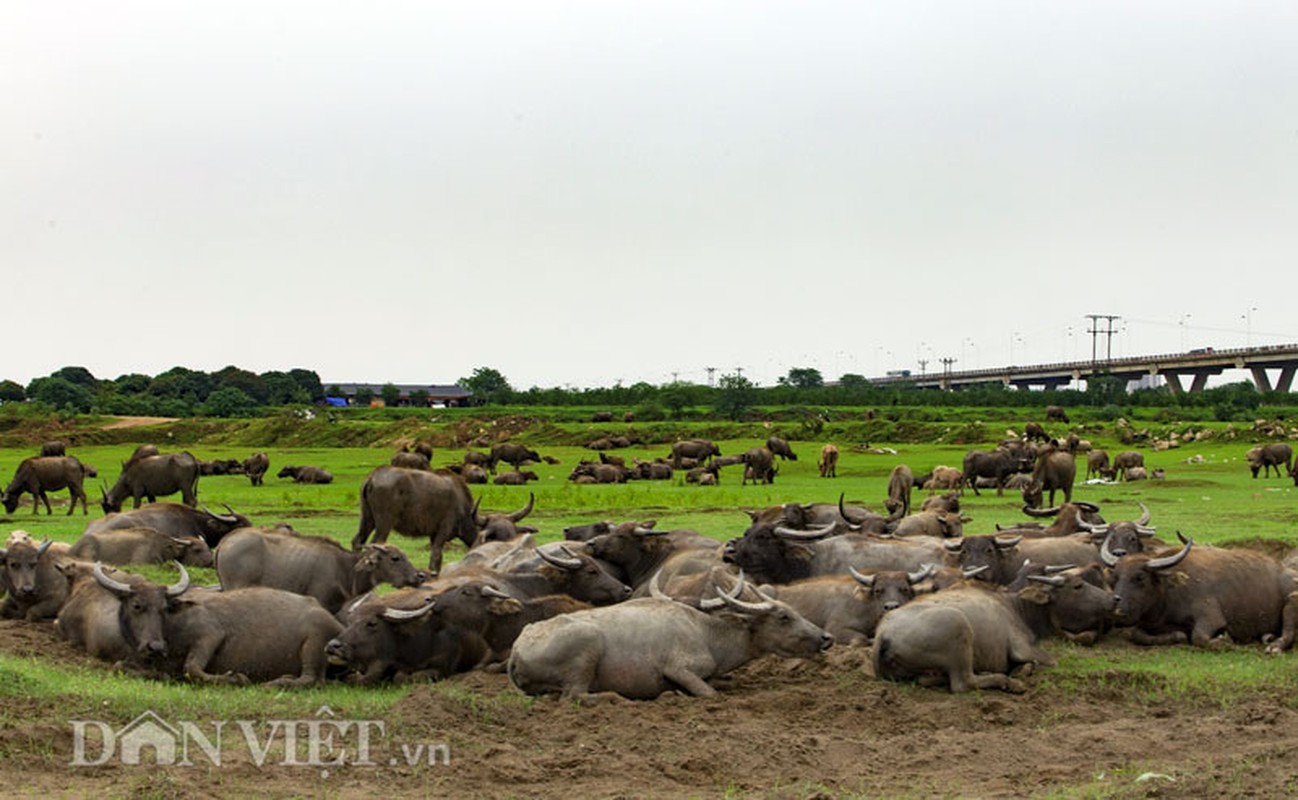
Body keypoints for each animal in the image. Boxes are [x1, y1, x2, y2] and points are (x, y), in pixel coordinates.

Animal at [1105, 532, 1298, 649]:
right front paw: (1178, 635)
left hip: (1291, 603)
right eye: (1115, 578)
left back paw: (1274, 646)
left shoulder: (1210, 617)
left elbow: (1199, 637)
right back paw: (1268, 637)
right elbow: (1137, 634)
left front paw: (1224, 640)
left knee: (1289, 633)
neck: (1169, 593)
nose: (1117, 611)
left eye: (1139, 577)